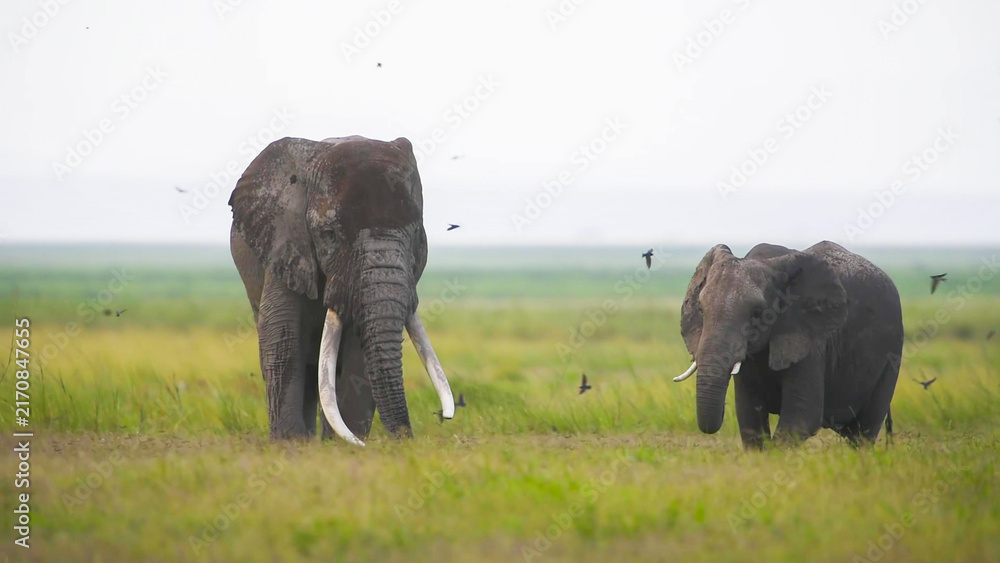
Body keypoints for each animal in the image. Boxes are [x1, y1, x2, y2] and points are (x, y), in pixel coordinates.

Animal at [229, 135, 455, 444]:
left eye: (417, 234)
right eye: (329, 236)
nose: (406, 437)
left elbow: (358, 350)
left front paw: (343, 443)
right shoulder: (286, 243)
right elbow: (281, 331)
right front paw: (290, 443)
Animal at [674, 241, 902, 449]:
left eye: (758, 314)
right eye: (701, 310)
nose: (721, 409)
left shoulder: (810, 338)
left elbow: (802, 416)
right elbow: (749, 415)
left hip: (892, 352)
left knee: (864, 431)